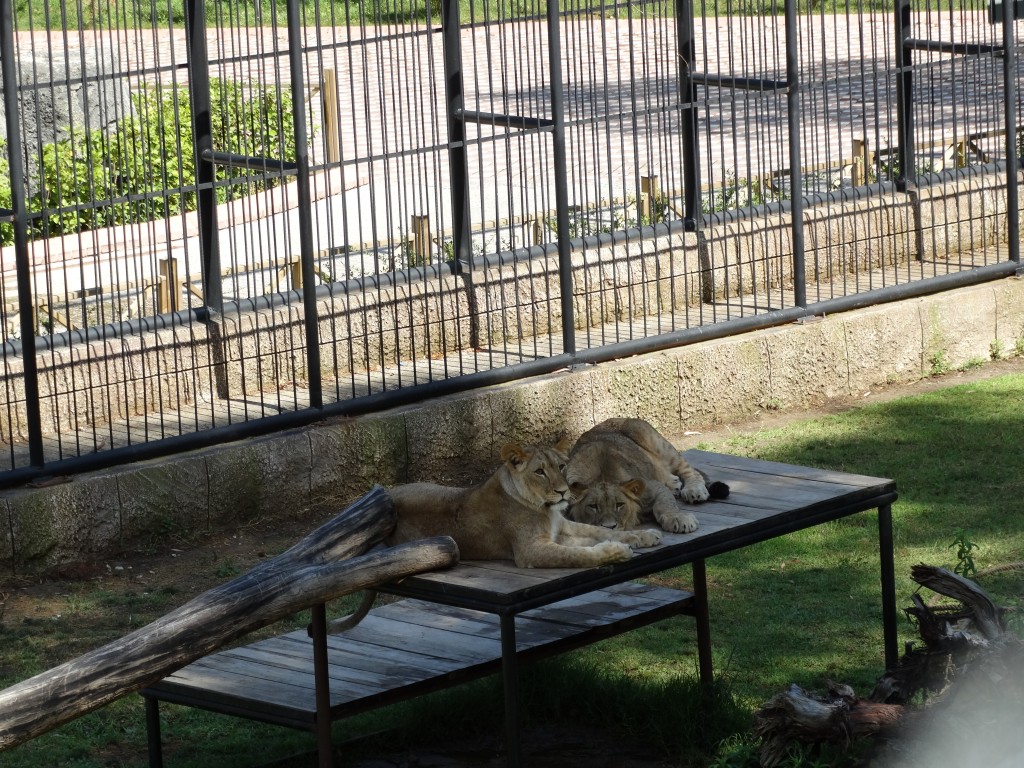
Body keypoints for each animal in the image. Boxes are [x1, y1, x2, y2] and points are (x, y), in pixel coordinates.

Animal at [565, 421, 733, 536]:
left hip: (655, 440)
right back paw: (673, 483)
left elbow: (666, 504)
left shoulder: (652, 486)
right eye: (593, 506)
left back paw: (693, 491)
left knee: (690, 471)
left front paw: (679, 520)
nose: (609, 528)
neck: (602, 476)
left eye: (619, 505)